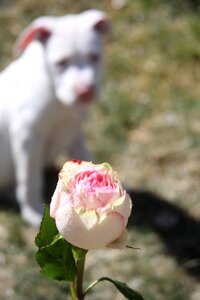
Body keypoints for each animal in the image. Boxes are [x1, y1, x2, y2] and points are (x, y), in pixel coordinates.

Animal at [0, 8, 109, 225]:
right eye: (61, 62)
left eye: (95, 57)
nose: (85, 91)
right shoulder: (27, 137)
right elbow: (30, 178)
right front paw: (33, 211)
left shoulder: (75, 130)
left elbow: (85, 155)